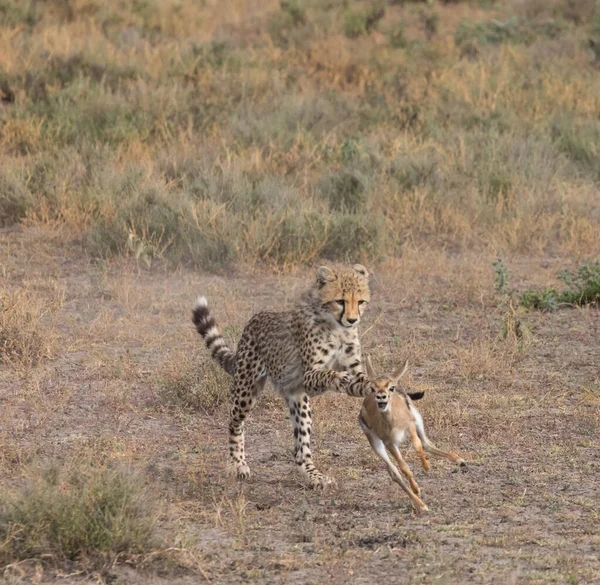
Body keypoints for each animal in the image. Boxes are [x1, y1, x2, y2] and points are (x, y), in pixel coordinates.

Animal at [193, 264, 370, 488]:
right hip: (246, 390)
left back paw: (313, 475)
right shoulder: (309, 376)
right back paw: (237, 463)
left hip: (298, 400)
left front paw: (381, 389)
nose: (353, 319)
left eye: (360, 302)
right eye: (340, 301)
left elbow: (364, 381)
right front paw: (339, 378)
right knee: (234, 421)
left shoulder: (354, 369)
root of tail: (256, 317)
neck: (337, 327)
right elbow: (327, 373)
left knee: (301, 448)